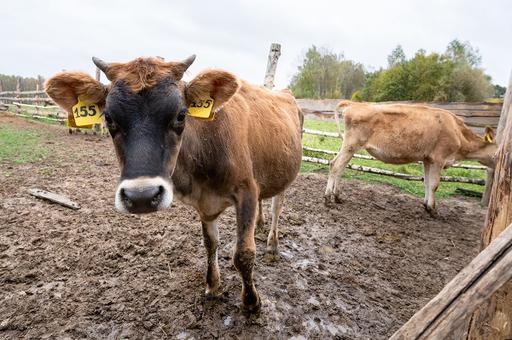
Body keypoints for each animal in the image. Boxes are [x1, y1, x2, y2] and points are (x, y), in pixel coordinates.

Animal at [45, 56, 304, 314]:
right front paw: (213, 286)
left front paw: (251, 302)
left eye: (181, 115)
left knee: (277, 206)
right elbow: (210, 244)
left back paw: (272, 245)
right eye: (108, 117)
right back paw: (259, 227)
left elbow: (243, 254)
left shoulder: (246, 190)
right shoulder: (205, 204)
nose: (141, 196)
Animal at [326, 99, 498, 215]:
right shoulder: (439, 159)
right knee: (336, 165)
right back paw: (329, 197)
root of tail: (354, 104)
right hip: (351, 144)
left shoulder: (428, 159)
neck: (459, 133)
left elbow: (427, 183)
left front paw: (426, 205)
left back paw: (337, 196)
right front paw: (433, 210)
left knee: (338, 165)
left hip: (348, 146)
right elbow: (435, 184)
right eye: (498, 151)